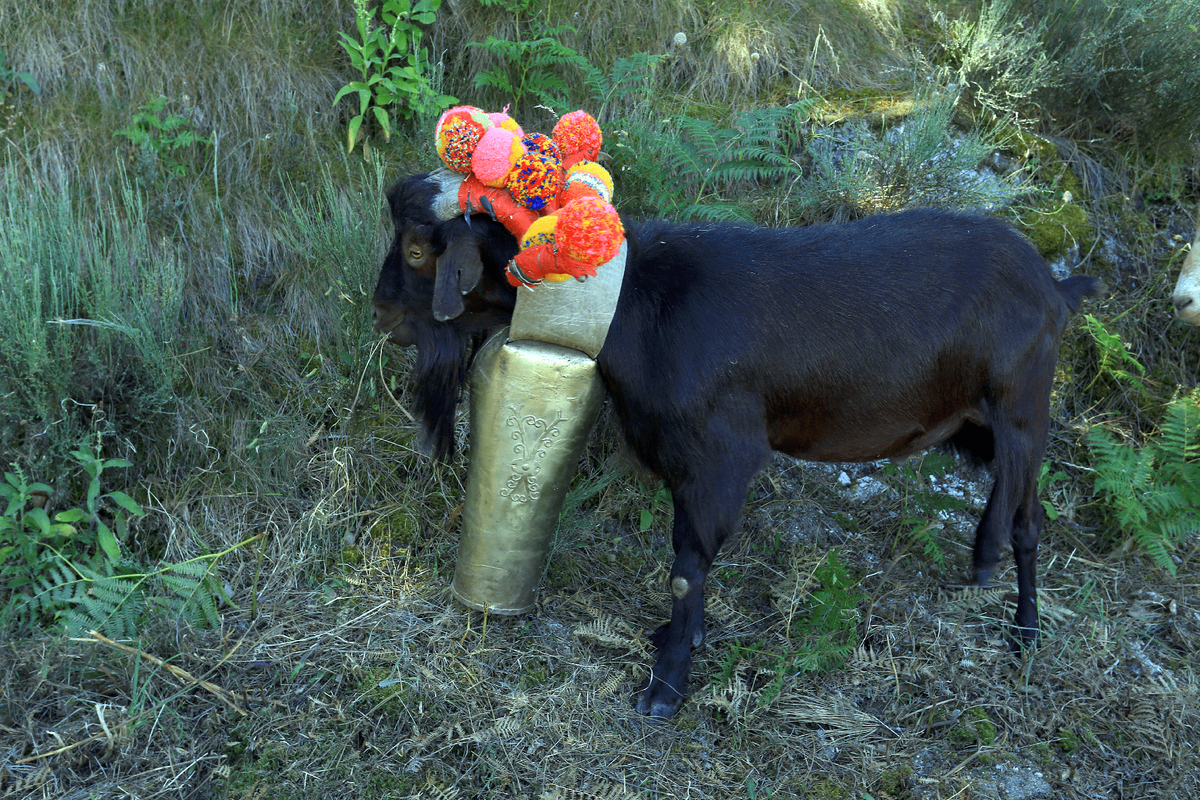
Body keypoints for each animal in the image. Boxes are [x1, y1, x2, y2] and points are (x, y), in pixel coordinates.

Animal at [372, 173, 1099, 719]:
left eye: (417, 251)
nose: (382, 315)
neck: (638, 306)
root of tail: (1056, 287)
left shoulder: (722, 456)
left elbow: (685, 569)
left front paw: (665, 688)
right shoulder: (682, 461)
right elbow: (685, 557)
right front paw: (679, 638)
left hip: (1021, 405)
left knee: (1026, 510)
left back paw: (1014, 608)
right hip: (973, 426)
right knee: (1023, 506)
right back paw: (1003, 587)